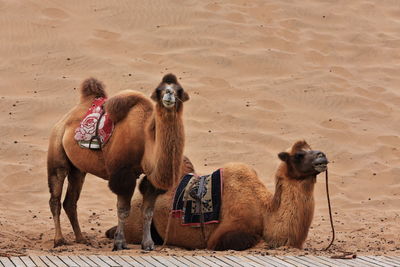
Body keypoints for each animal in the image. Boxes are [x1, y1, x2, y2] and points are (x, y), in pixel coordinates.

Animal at [46, 73, 190, 251]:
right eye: (160, 90)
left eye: (179, 90)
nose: (169, 94)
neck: (146, 139)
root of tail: (64, 120)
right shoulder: (122, 173)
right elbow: (123, 210)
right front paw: (120, 243)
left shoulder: (151, 178)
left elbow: (148, 211)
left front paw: (148, 244)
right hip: (57, 153)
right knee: (55, 198)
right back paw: (59, 240)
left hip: (78, 169)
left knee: (70, 202)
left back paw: (82, 239)